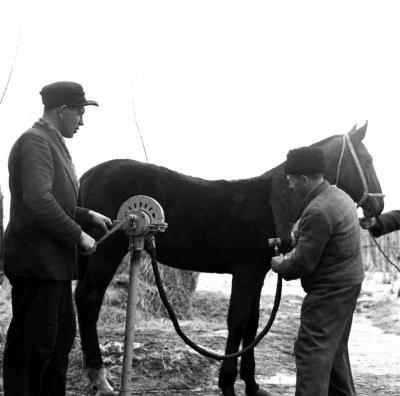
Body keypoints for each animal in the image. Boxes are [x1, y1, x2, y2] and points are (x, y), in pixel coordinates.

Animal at [75, 122, 384, 394]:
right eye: (368, 160)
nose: (378, 205)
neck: (270, 204)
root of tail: (88, 175)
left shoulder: (258, 274)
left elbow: (253, 324)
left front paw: (253, 385)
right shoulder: (245, 272)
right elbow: (237, 322)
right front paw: (226, 384)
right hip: (107, 251)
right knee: (89, 298)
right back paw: (101, 379)